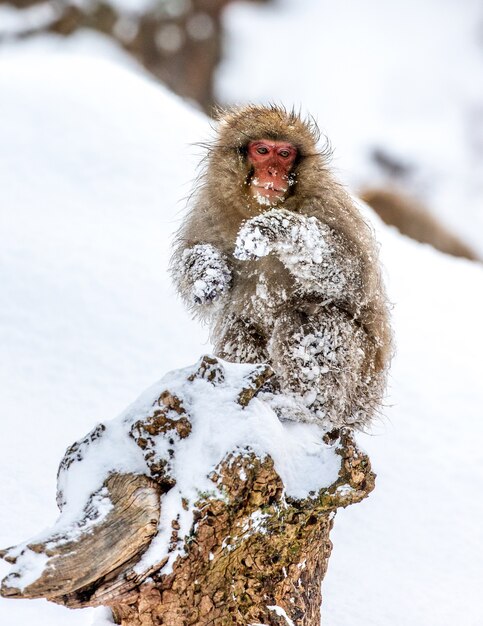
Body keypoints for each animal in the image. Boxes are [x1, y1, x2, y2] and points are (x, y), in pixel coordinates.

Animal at [170, 107, 394, 428]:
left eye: (285, 154)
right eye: (262, 151)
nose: (273, 172)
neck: (258, 206)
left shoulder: (329, 205)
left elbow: (352, 276)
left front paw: (275, 228)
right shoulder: (209, 209)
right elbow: (194, 268)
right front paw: (208, 273)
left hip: (358, 392)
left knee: (310, 316)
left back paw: (302, 409)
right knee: (237, 324)